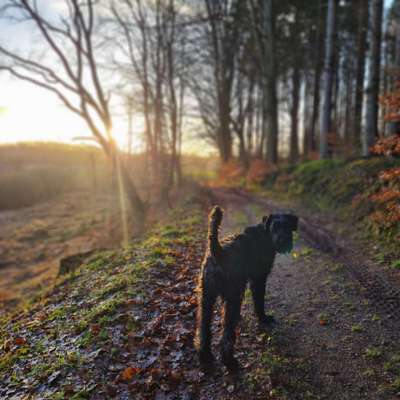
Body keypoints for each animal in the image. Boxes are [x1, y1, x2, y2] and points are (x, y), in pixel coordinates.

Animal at [195, 208, 298, 370]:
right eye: (275, 227)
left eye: (287, 226)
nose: (284, 241)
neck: (265, 235)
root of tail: (219, 253)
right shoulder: (259, 279)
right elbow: (259, 301)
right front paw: (263, 318)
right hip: (232, 296)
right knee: (226, 335)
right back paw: (230, 362)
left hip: (206, 298)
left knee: (204, 328)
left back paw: (205, 356)